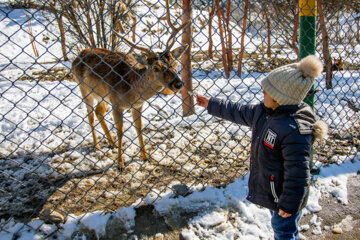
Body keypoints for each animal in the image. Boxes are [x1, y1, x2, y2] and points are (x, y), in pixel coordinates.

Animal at [71, 13, 190, 171]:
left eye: (175, 63)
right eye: (155, 68)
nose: (178, 84)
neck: (131, 91)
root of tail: (78, 55)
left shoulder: (138, 105)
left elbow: (139, 128)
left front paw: (146, 156)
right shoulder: (116, 104)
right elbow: (120, 131)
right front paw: (120, 164)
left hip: (102, 95)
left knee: (98, 111)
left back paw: (112, 143)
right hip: (83, 89)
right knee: (90, 115)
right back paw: (96, 146)